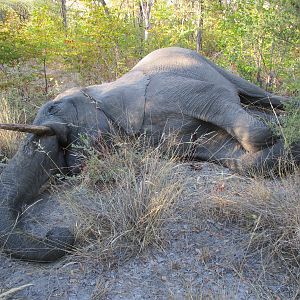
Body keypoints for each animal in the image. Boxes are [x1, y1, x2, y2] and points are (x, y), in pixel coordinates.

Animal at [0, 47, 298, 262]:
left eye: (53, 108)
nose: (61, 233)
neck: (104, 89)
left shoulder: (172, 92)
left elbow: (219, 102)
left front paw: (283, 136)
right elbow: (232, 155)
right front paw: (290, 148)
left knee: (255, 94)